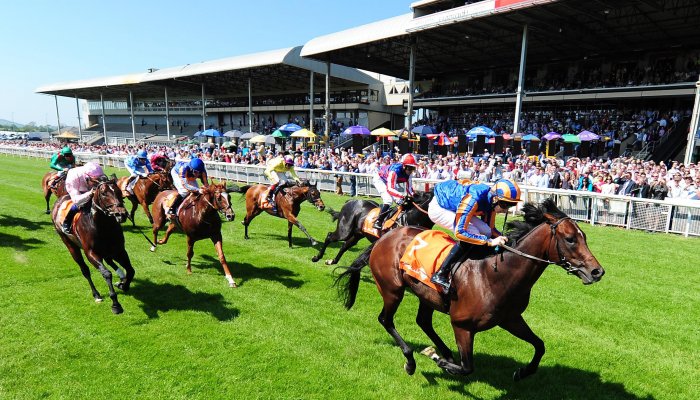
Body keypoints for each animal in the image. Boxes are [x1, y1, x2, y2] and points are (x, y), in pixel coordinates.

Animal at [51, 177, 133, 314]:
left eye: (119, 191)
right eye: (104, 193)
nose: (121, 214)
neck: (103, 226)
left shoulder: (119, 250)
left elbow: (131, 270)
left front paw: (124, 285)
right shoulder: (91, 253)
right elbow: (106, 273)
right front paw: (115, 304)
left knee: (110, 261)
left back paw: (121, 276)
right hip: (70, 244)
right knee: (85, 270)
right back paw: (96, 294)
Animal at [336, 200, 604, 382]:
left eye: (584, 236)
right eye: (570, 239)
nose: (597, 272)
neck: (496, 274)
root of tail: (385, 237)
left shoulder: (510, 318)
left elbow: (540, 346)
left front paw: (522, 371)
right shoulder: (462, 325)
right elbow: (468, 368)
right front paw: (435, 358)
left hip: (426, 294)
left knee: (423, 321)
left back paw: (444, 351)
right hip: (392, 289)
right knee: (386, 319)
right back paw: (412, 360)